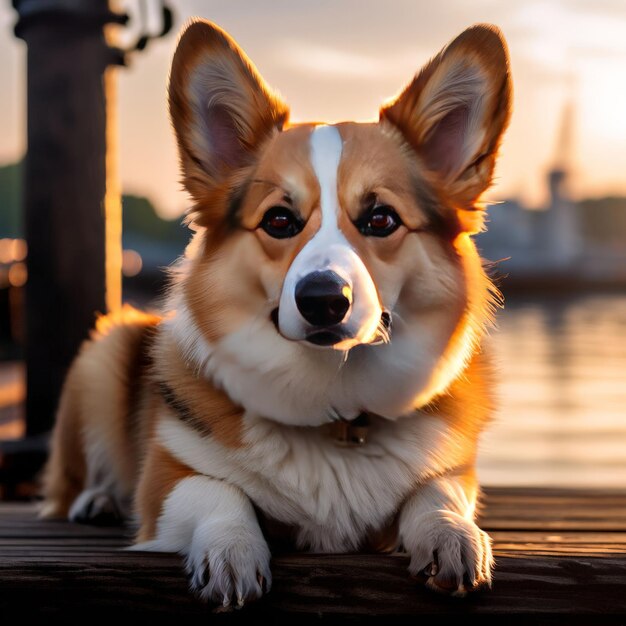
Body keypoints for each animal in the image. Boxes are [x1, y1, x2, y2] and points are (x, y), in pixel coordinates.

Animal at [42, 18, 512, 604]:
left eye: (381, 219)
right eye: (279, 221)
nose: (323, 299)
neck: (334, 404)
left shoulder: (452, 471)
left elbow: (437, 493)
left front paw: (452, 536)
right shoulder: (165, 484)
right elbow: (216, 492)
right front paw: (232, 552)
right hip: (101, 362)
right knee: (73, 480)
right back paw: (97, 501)